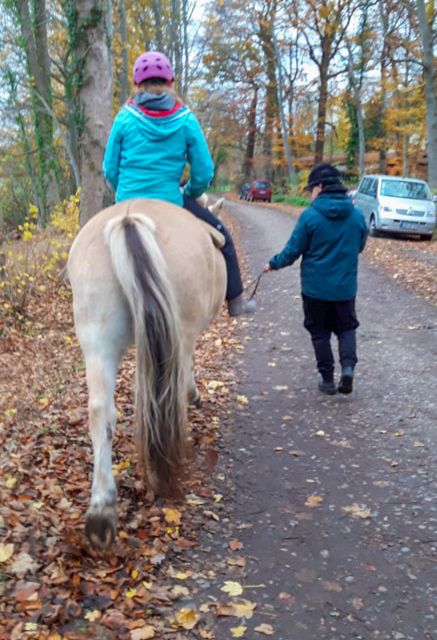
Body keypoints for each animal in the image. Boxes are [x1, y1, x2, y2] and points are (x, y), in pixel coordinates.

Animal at [68, 198, 227, 548]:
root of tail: (129, 220)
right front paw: (195, 395)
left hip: (97, 339)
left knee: (100, 413)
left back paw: (101, 513)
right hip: (178, 330)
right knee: (169, 395)